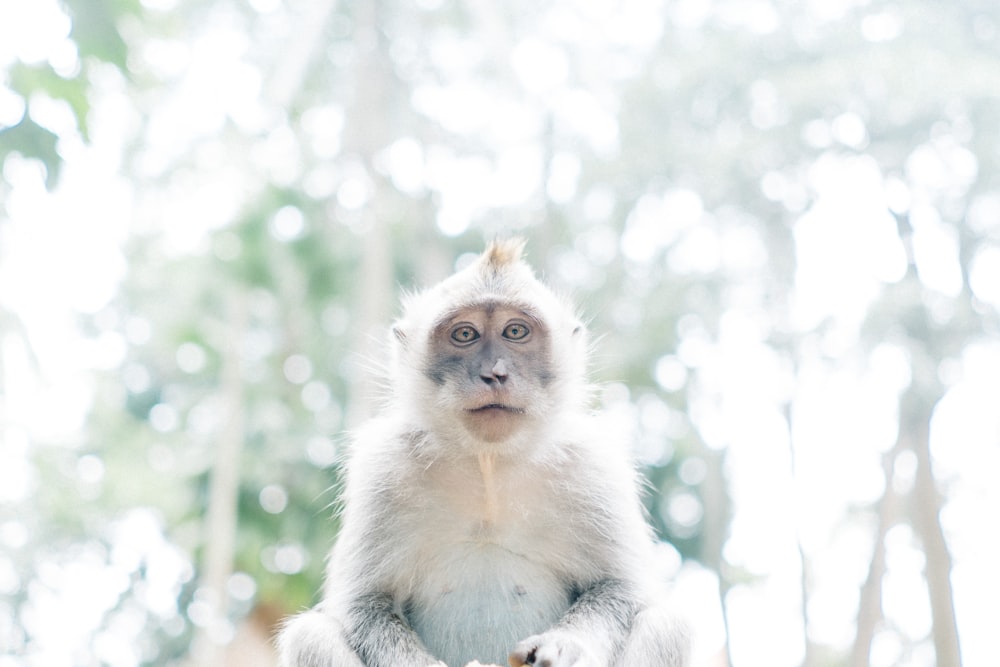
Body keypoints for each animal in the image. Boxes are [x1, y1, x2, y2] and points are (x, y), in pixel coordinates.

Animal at [278, 240, 692, 667]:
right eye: (465, 333)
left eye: (515, 331)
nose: (494, 373)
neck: (488, 464)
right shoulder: (384, 468)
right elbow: (366, 603)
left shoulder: (592, 466)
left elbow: (618, 587)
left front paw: (562, 648)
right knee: (311, 636)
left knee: (664, 625)